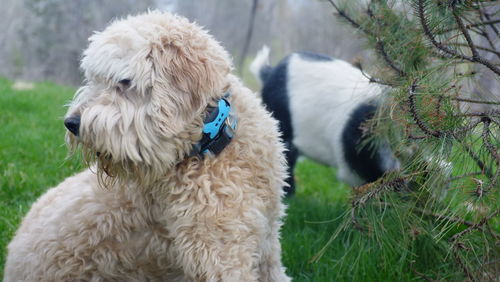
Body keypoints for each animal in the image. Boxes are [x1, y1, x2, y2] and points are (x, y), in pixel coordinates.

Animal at [3, 11, 292, 282]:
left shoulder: (265, 242)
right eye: (93, 78)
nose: (71, 122)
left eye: (124, 81)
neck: (210, 146)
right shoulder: (219, 255)